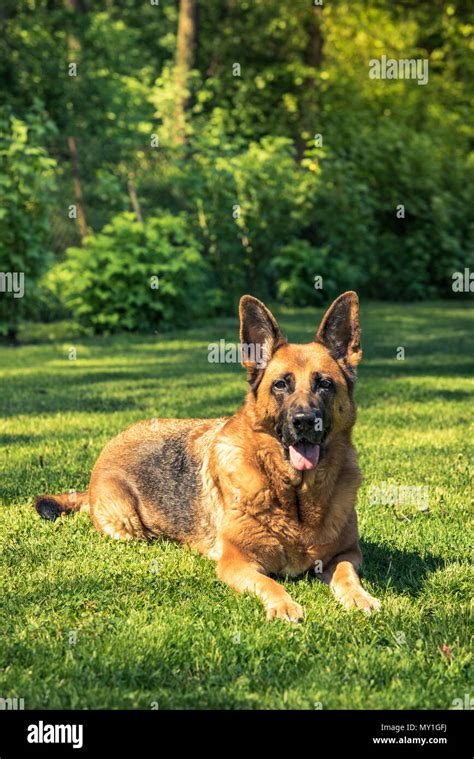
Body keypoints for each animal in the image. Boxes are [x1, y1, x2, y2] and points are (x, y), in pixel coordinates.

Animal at [35, 292, 380, 624]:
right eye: (281, 384)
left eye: (325, 384)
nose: (305, 422)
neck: (295, 498)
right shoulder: (237, 562)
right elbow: (270, 583)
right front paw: (283, 605)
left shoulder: (348, 554)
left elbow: (347, 576)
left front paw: (360, 598)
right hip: (126, 524)